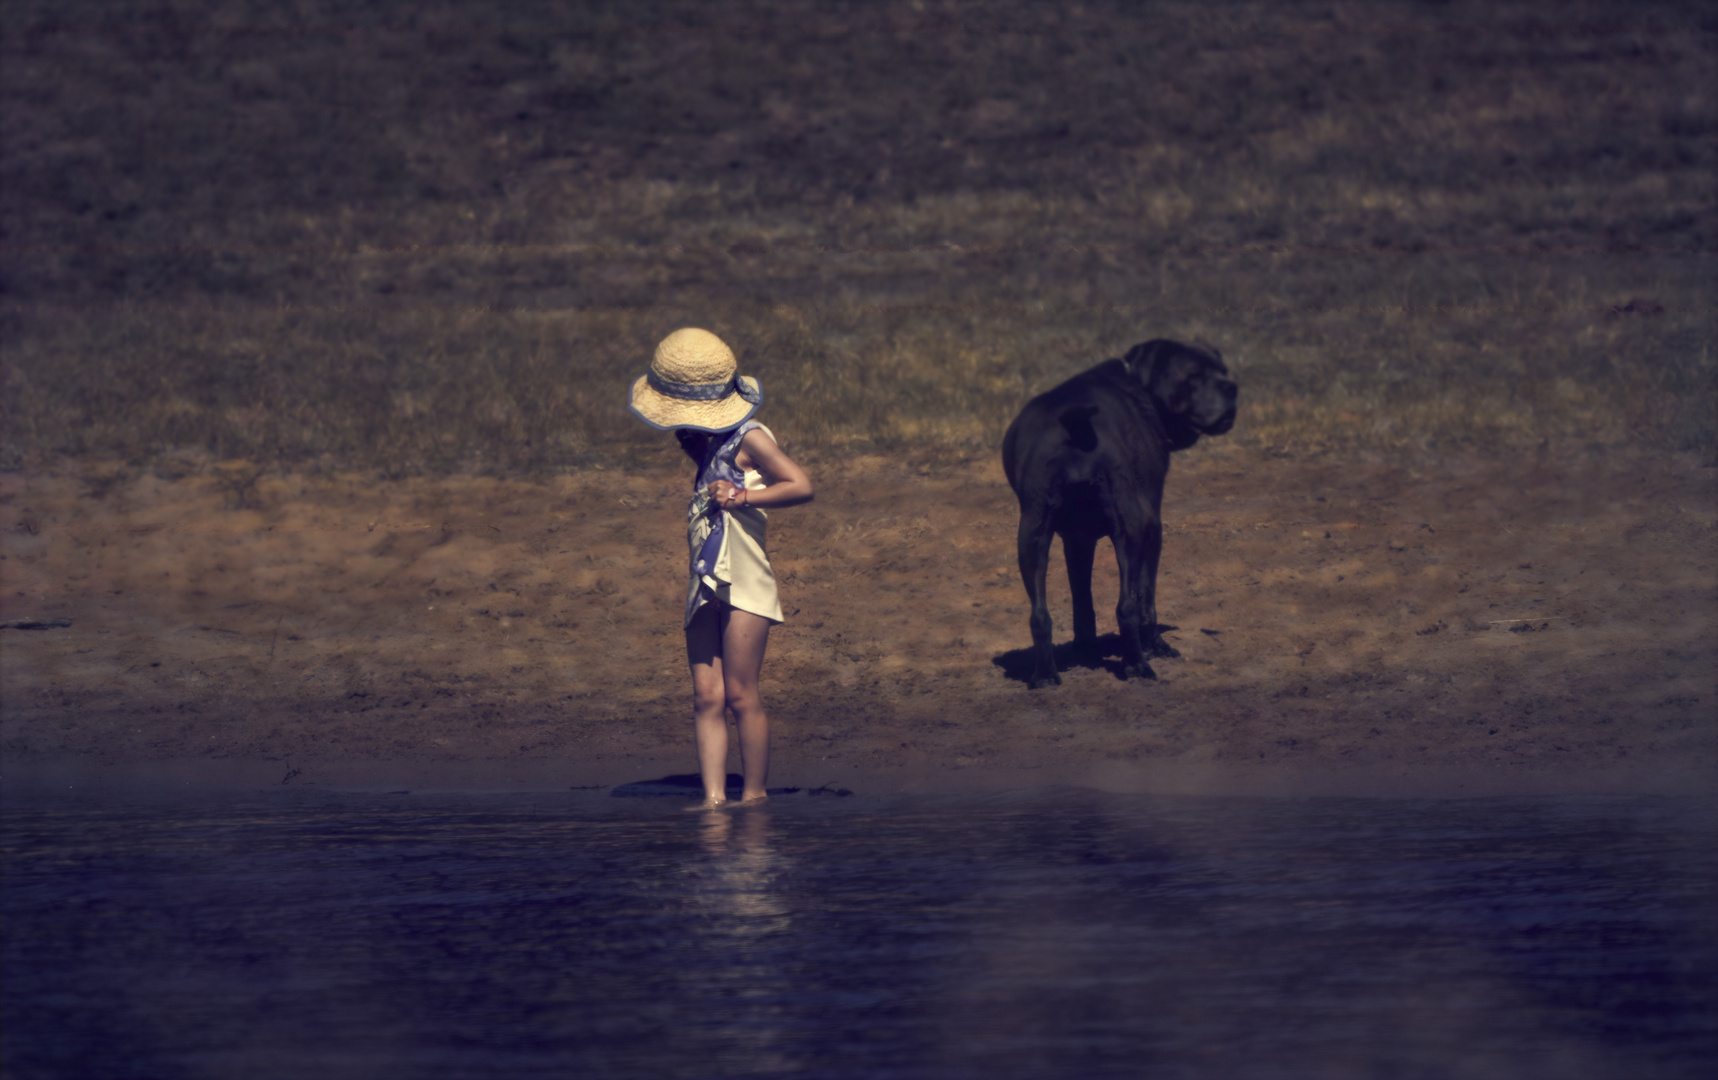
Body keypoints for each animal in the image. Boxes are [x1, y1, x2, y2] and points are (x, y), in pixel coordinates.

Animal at [1003, 341, 1243, 686]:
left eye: (1222, 371)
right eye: (1194, 375)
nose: (1231, 387)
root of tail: (1076, 429)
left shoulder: (1077, 540)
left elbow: (1082, 599)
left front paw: (1085, 648)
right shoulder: (1152, 526)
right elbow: (1147, 598)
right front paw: (1155, 646)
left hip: (1031, 536)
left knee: (1039, 614)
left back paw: (1046, 675)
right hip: (1132, 530)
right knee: (1127, 606)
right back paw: (1137, 666)